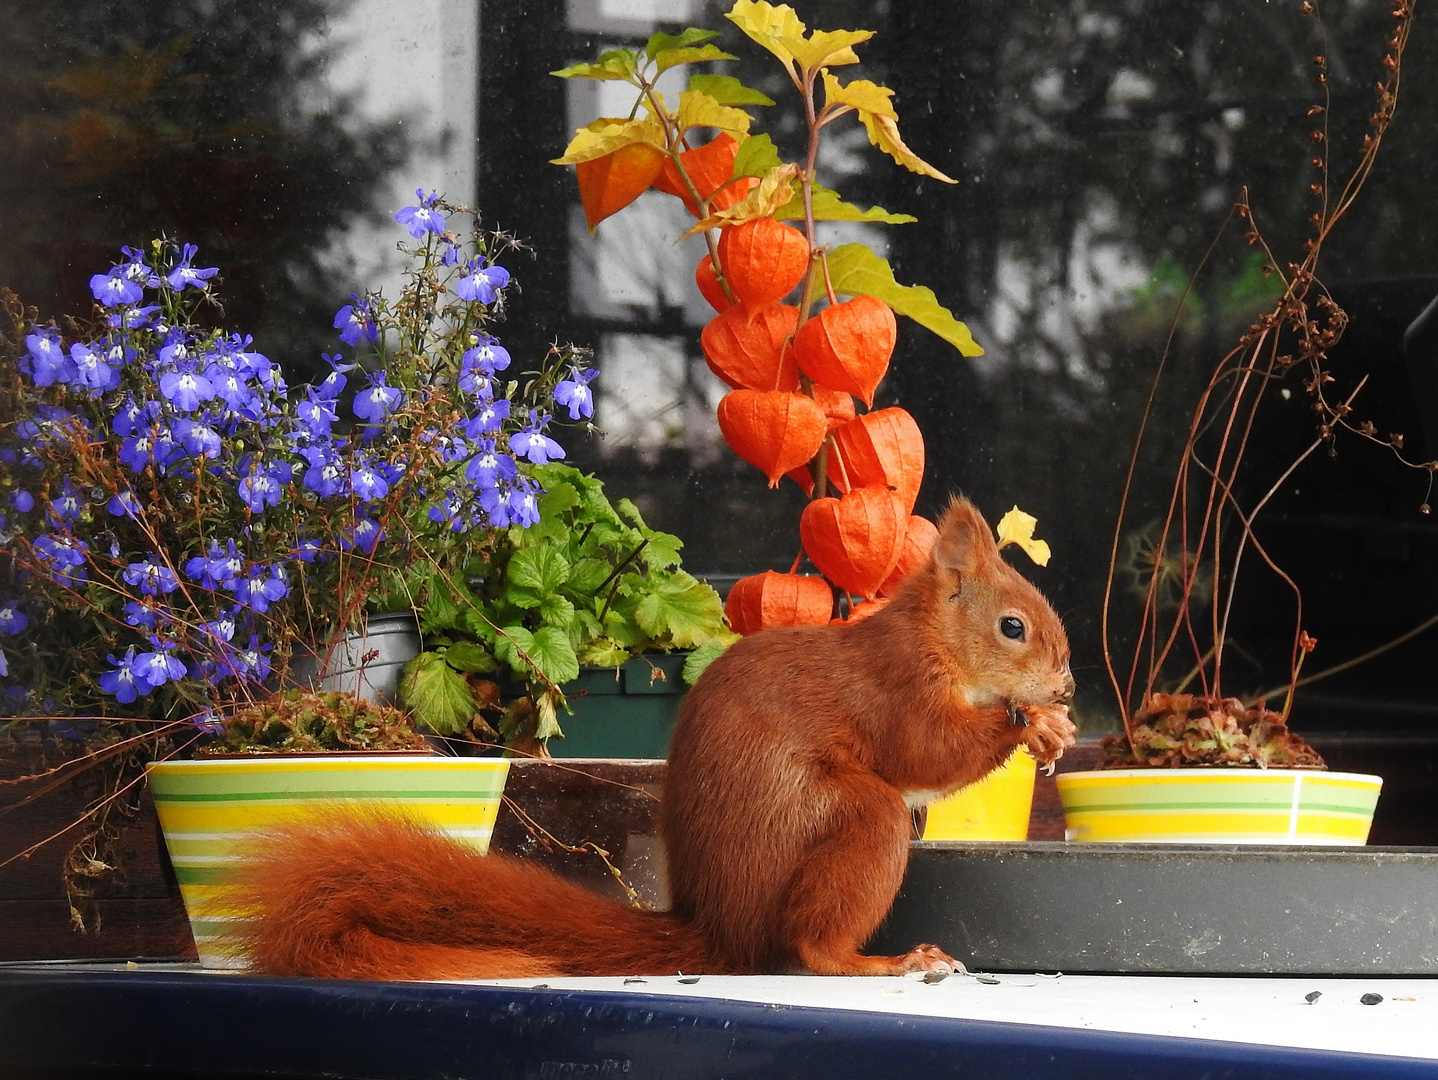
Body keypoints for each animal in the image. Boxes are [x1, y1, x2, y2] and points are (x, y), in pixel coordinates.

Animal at [232, 497, 1069, 977]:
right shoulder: (895, 692)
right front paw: (1029, 724)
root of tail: (723, 932)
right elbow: (926, 753)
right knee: (817, 935)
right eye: (1013, 627)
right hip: (852, 825)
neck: (936, 643)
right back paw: (878, 962)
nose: (1064, 685)